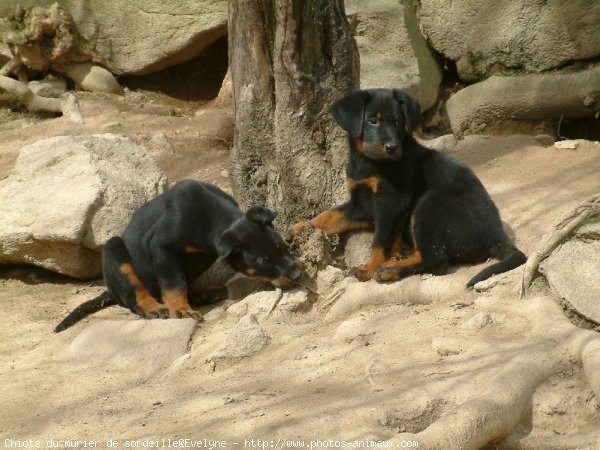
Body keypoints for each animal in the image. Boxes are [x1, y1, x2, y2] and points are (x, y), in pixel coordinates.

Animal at [54, 180, 302, 334]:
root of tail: (108, 292)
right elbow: (174, 282)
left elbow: (180, 281)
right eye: (263, 262)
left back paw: (204, 294)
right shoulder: (161, 245)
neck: (210, 215)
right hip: (114, 249)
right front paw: (181, 311)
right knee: (133, 295)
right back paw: (154, 308)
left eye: (282, 246)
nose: (297, 273)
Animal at [290, 88, 524, 286]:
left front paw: (369, 267)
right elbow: (330, 216)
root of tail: (497, 235)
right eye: (372, 121)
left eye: (397, 122)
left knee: (436, 260)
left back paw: (390, 269)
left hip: (429, 206)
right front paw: (299, 228)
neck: (368, 162)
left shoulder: (391, 202)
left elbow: (379, 240)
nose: (391, 147)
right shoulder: (362, 203)